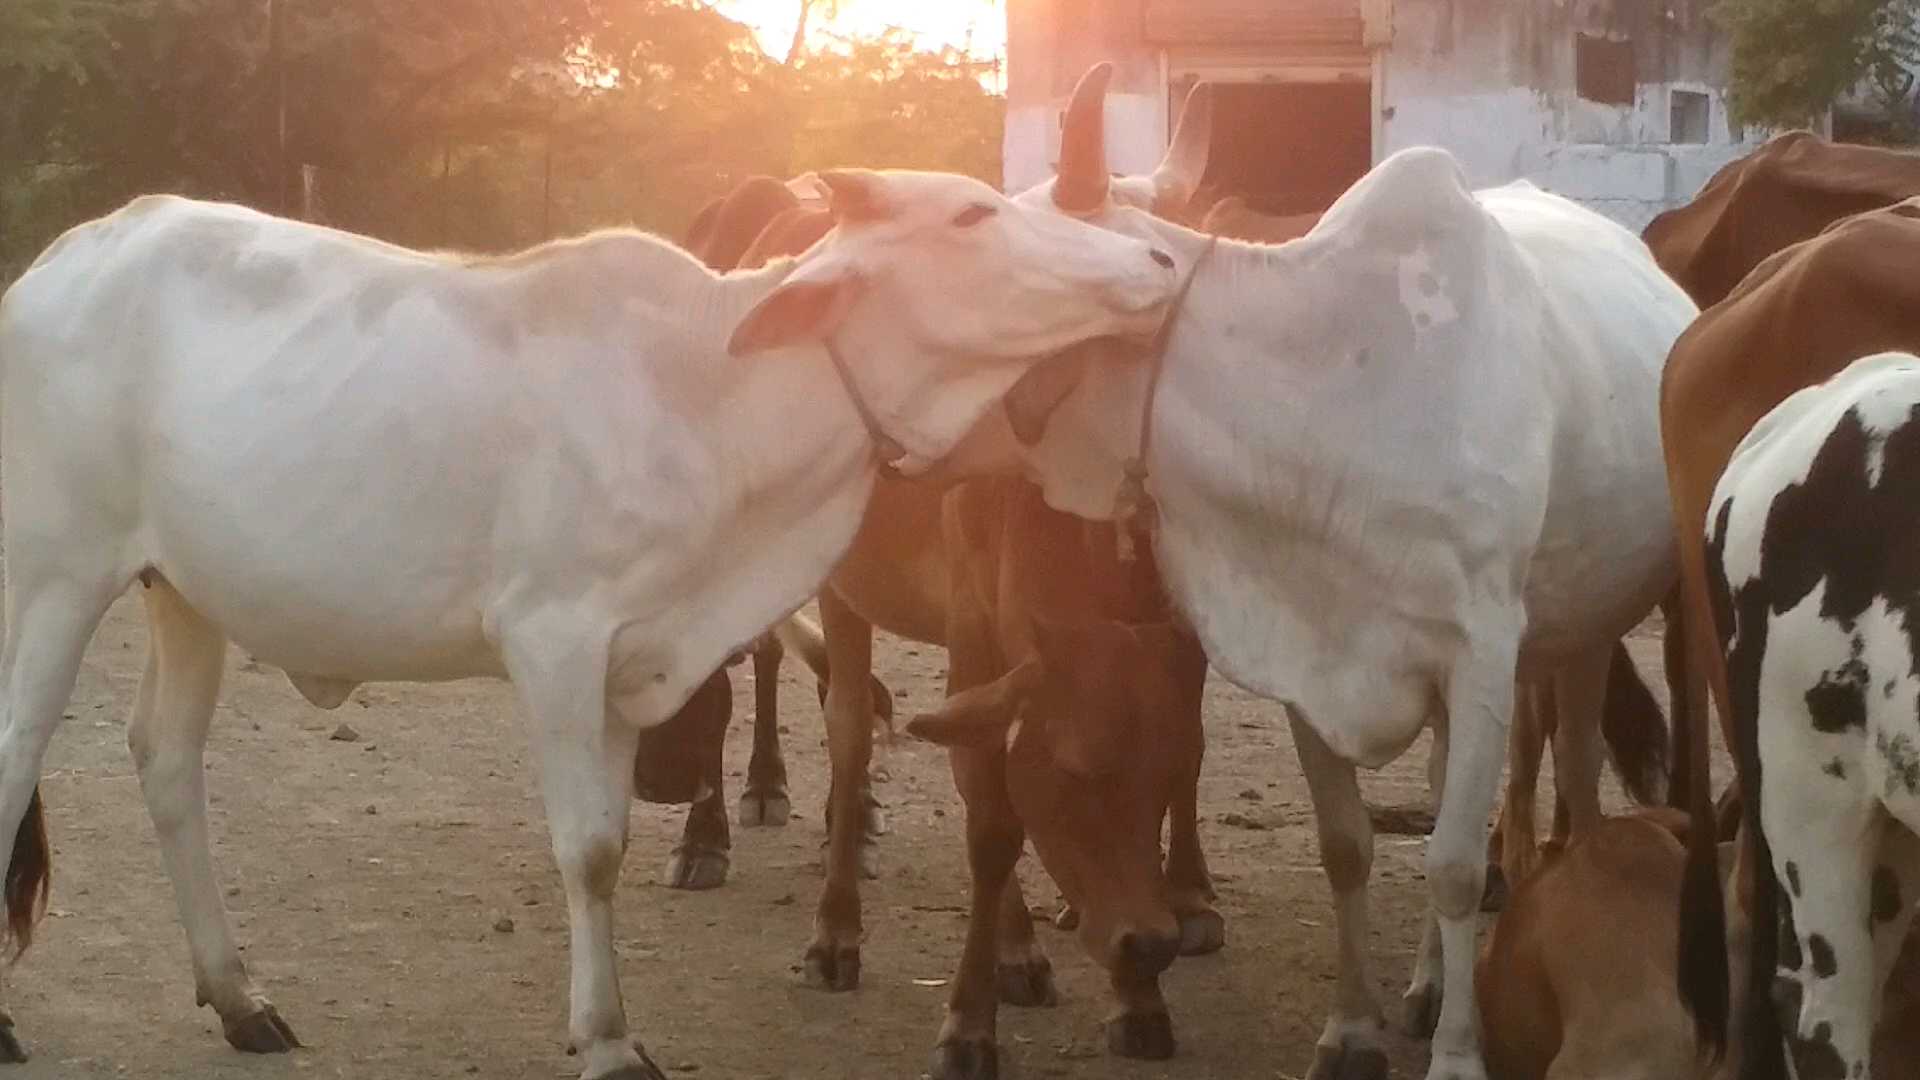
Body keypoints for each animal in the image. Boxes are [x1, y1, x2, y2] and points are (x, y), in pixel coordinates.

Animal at [0, 171, 1175, 1068]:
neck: (716, 391)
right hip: (55, 575)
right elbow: (587, 848)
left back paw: (238, 996)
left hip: (183, 589)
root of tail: (66, 257)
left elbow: (608, 845)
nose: (1160, 262)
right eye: (972, 215)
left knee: (166, 759)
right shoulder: (555, 641)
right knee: (18, 752)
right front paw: (607, 1043)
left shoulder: (631, 667)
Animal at [975, 98, 1697, 1076]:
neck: (1332, 404)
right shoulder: (1305, 661)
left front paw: (1459, 1053)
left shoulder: (1481, 654)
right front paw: (1352, 1028)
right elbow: (1348, 847)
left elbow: (1456, 867)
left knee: (1576, 774)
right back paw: (1427, 983)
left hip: (1585, 631)